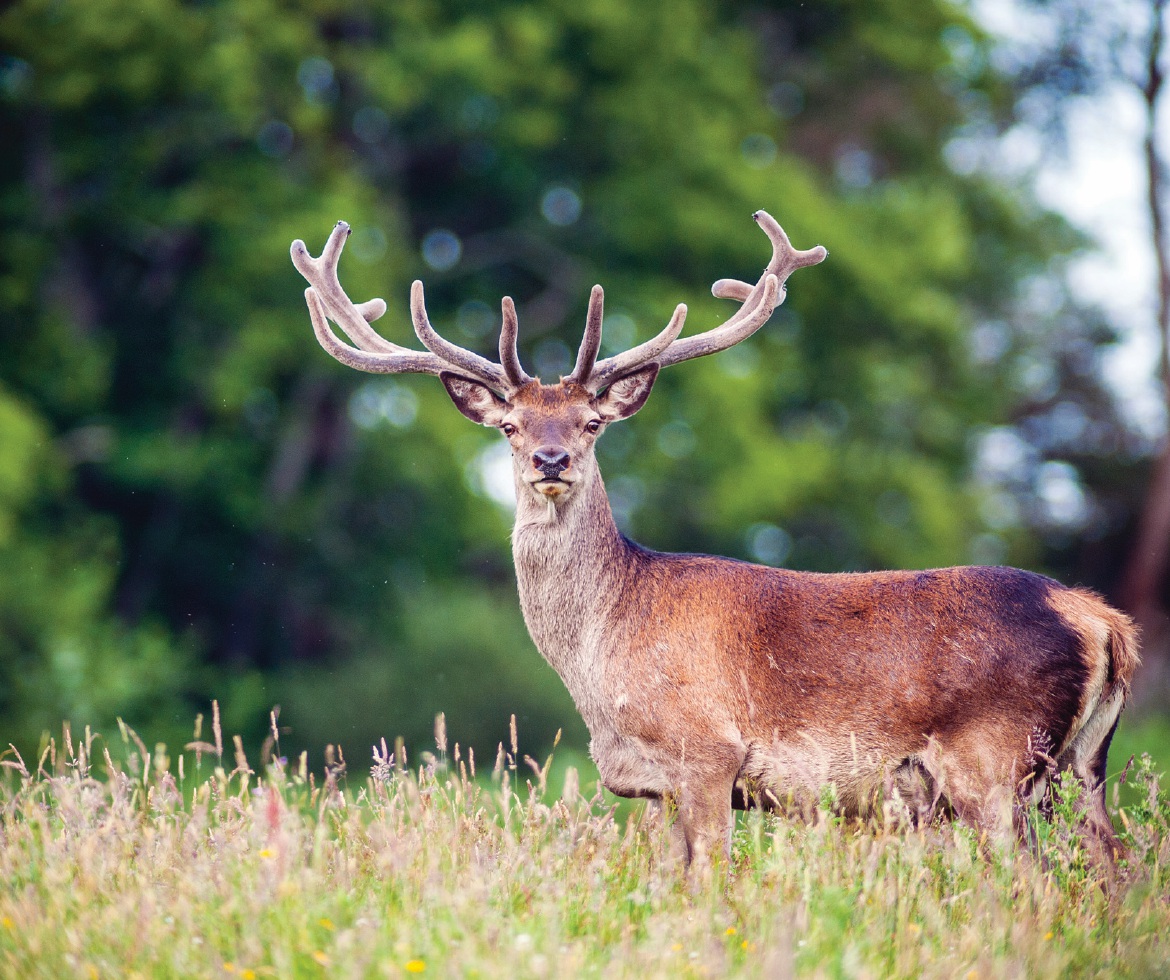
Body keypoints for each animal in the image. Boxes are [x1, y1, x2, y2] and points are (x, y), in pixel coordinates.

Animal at [291, 210, 1139, 872]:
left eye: (591, 423)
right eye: (510, 426)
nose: (550, 459)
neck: (601, 656)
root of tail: (1103, 622)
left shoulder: (707, 753)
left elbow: (711, 884)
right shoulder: (660, 787)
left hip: (993, 759)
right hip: (1082, 765)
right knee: (1112, 868)